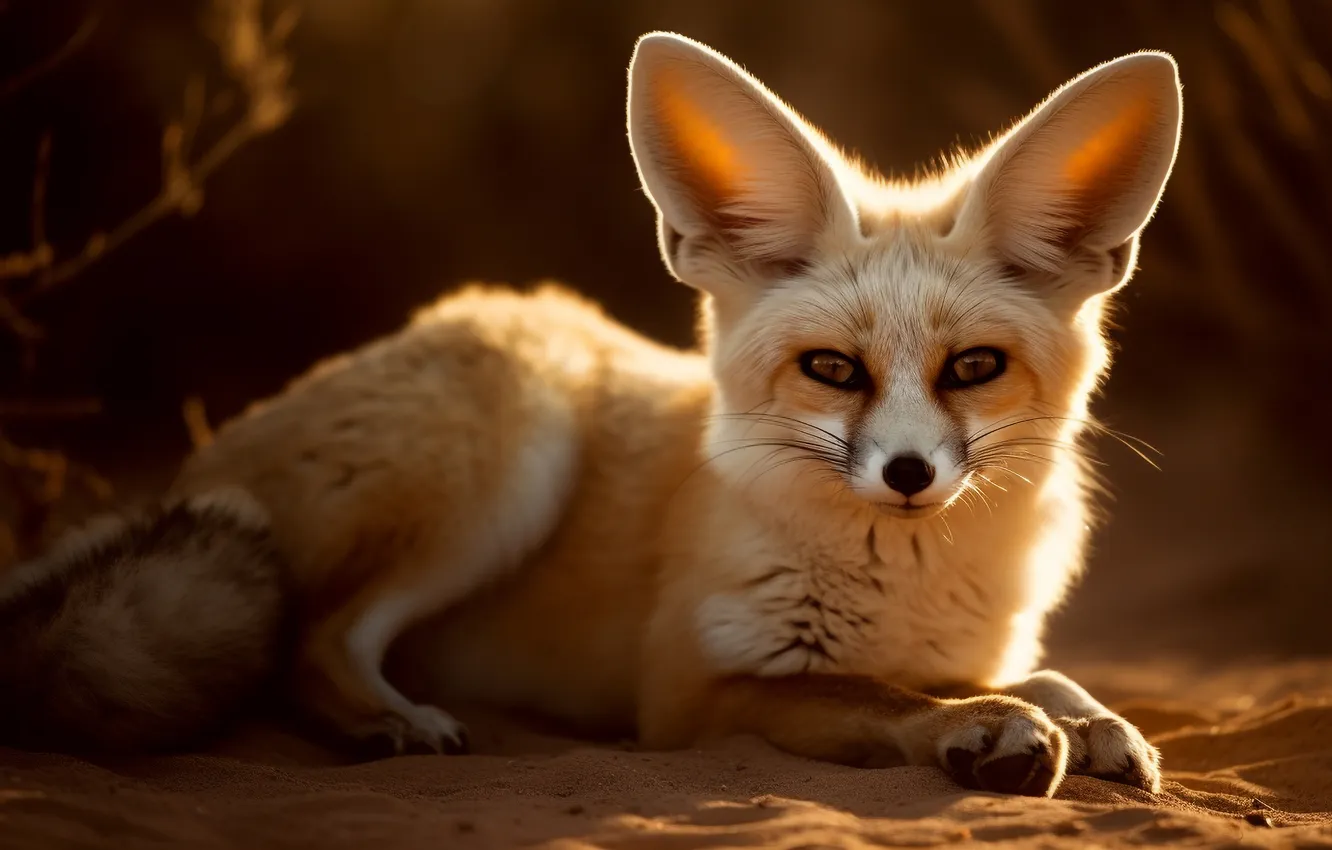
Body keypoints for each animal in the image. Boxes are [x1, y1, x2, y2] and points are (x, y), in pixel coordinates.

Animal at [0, 33, 1182, 797]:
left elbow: (1043, 672)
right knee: (310, 640)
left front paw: (1093, 721)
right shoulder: (697, 693)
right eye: (833, 369)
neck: (908, 585)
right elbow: (886, 697)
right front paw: (979, 730)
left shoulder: (972, 642)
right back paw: (389, 719)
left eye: (972, 367)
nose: (906, 476)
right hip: (519, 439)